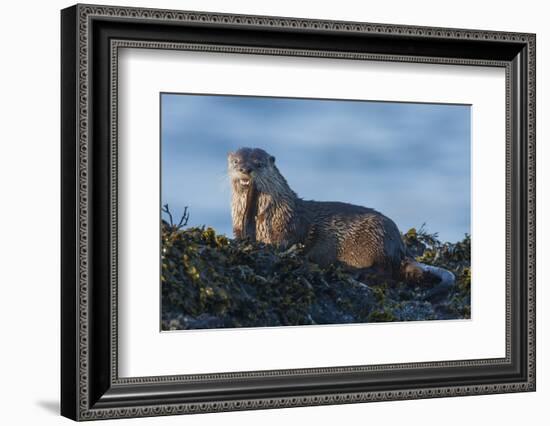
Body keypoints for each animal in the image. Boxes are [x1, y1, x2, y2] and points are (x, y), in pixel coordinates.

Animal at [229, 147, 458, 286]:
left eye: (259, 164)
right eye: (236, 162)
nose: (245, 169)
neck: (267, 215)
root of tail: (400, 246)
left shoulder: (289, 226)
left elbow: (286, 243)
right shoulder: (238, 228)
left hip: (377, 240)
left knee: (387, 272)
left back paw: (356, 272)